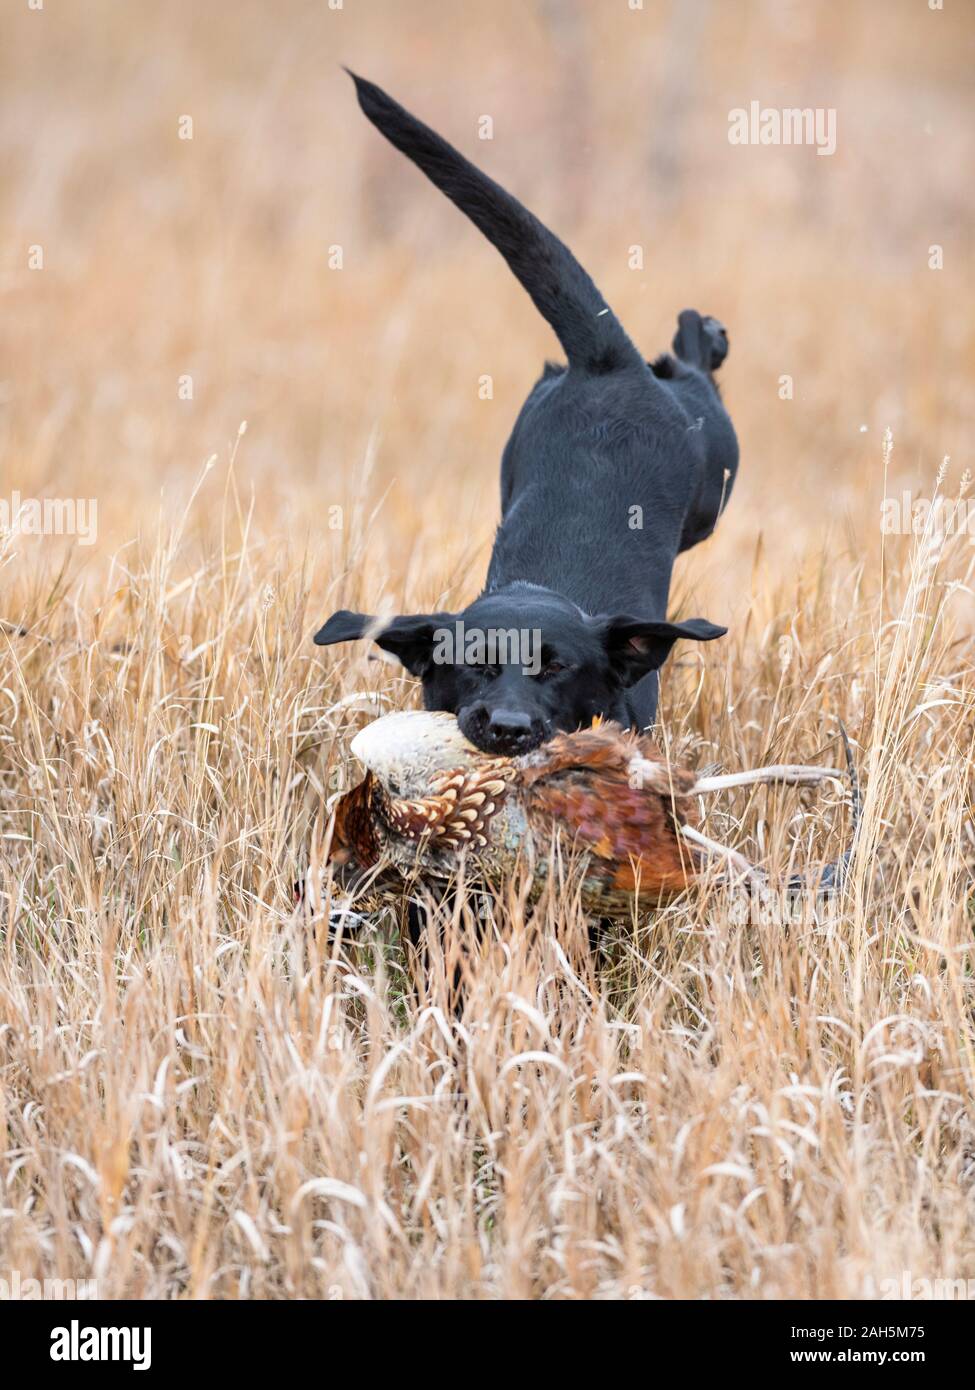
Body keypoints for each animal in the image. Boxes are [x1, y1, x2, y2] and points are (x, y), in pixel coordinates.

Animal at [315, 71, 734, 756]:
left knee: (692, 366)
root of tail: (606, 361)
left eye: (558, 667)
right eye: (474, 663)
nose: (509, 727)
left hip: (713, 481)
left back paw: (704, 334)